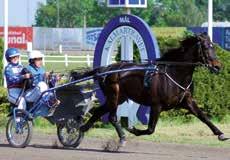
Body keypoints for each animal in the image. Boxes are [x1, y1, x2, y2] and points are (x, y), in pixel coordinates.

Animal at [71, 33, 228, 145]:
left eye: (213, 46)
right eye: (206, 47)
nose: (217, 66)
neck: (175, 73)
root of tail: (106, 68)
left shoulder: (187, 101)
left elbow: (203, 117)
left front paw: (220, 133)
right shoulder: (156, 105)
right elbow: (151, 129)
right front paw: (133, 129)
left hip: (119, 97)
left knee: (100, 111)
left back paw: (83, 129)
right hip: (113, 95)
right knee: (111, 116)